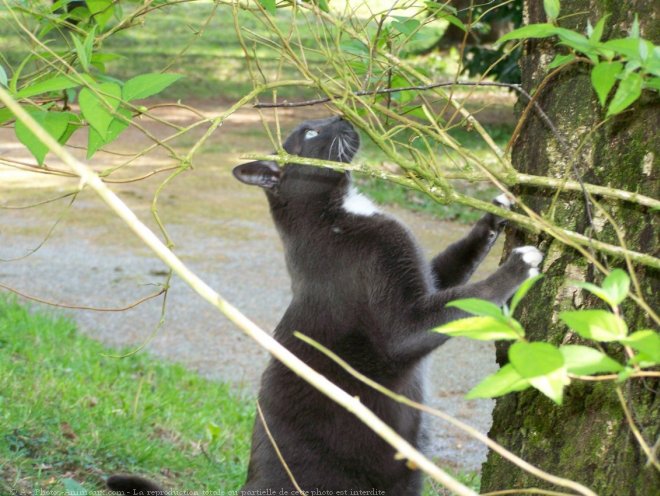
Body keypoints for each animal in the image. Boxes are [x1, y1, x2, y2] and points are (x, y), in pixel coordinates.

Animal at [107, 116, 540, 496]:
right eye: (311, 133)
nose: (340, 115)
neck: (338, 213)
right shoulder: (400, 318)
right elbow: (456, 305)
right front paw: (521, 264)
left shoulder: (423, 275)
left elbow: (453, 267)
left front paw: (495, 213)